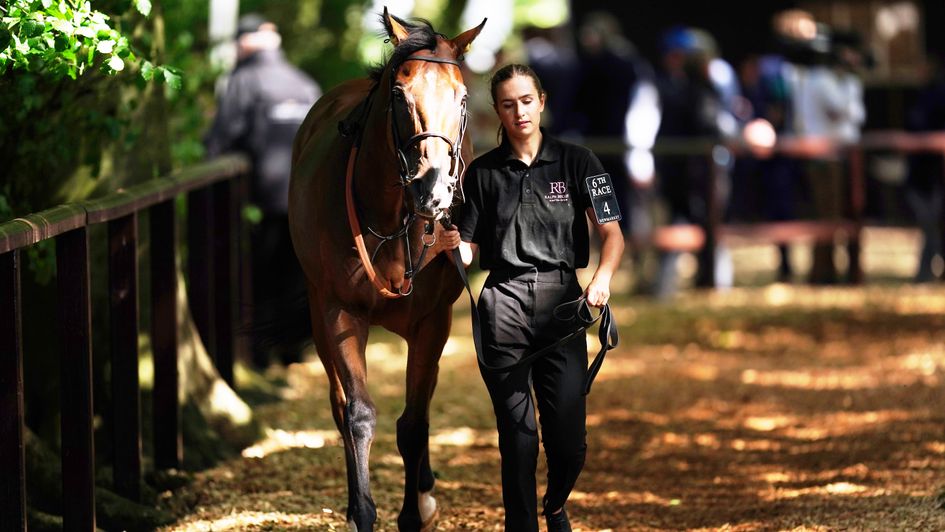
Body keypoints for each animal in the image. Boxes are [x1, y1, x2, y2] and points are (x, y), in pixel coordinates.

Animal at [288, 9, 486, 532]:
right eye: (399, 94)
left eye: (462, 98)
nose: (432, 188)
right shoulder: (338, 311)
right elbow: (357, 414)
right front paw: (363, 511)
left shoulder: (433, 321)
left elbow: (415, 421)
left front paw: (414, 511)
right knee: (340, 405)